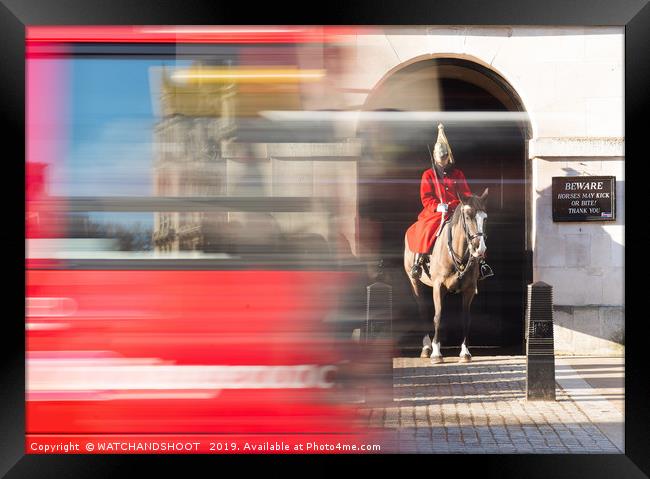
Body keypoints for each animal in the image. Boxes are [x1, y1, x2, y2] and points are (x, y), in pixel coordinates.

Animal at [400, 188, 486, 364]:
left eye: (485, 218)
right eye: (468, 216)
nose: (480, 249)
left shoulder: (469, 289)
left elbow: (466, 318)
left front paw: (465, 352)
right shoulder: (439, 287)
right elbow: (438, 317)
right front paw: (436, 352)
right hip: (415, 283)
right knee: (423, 311)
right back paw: (427, 347)